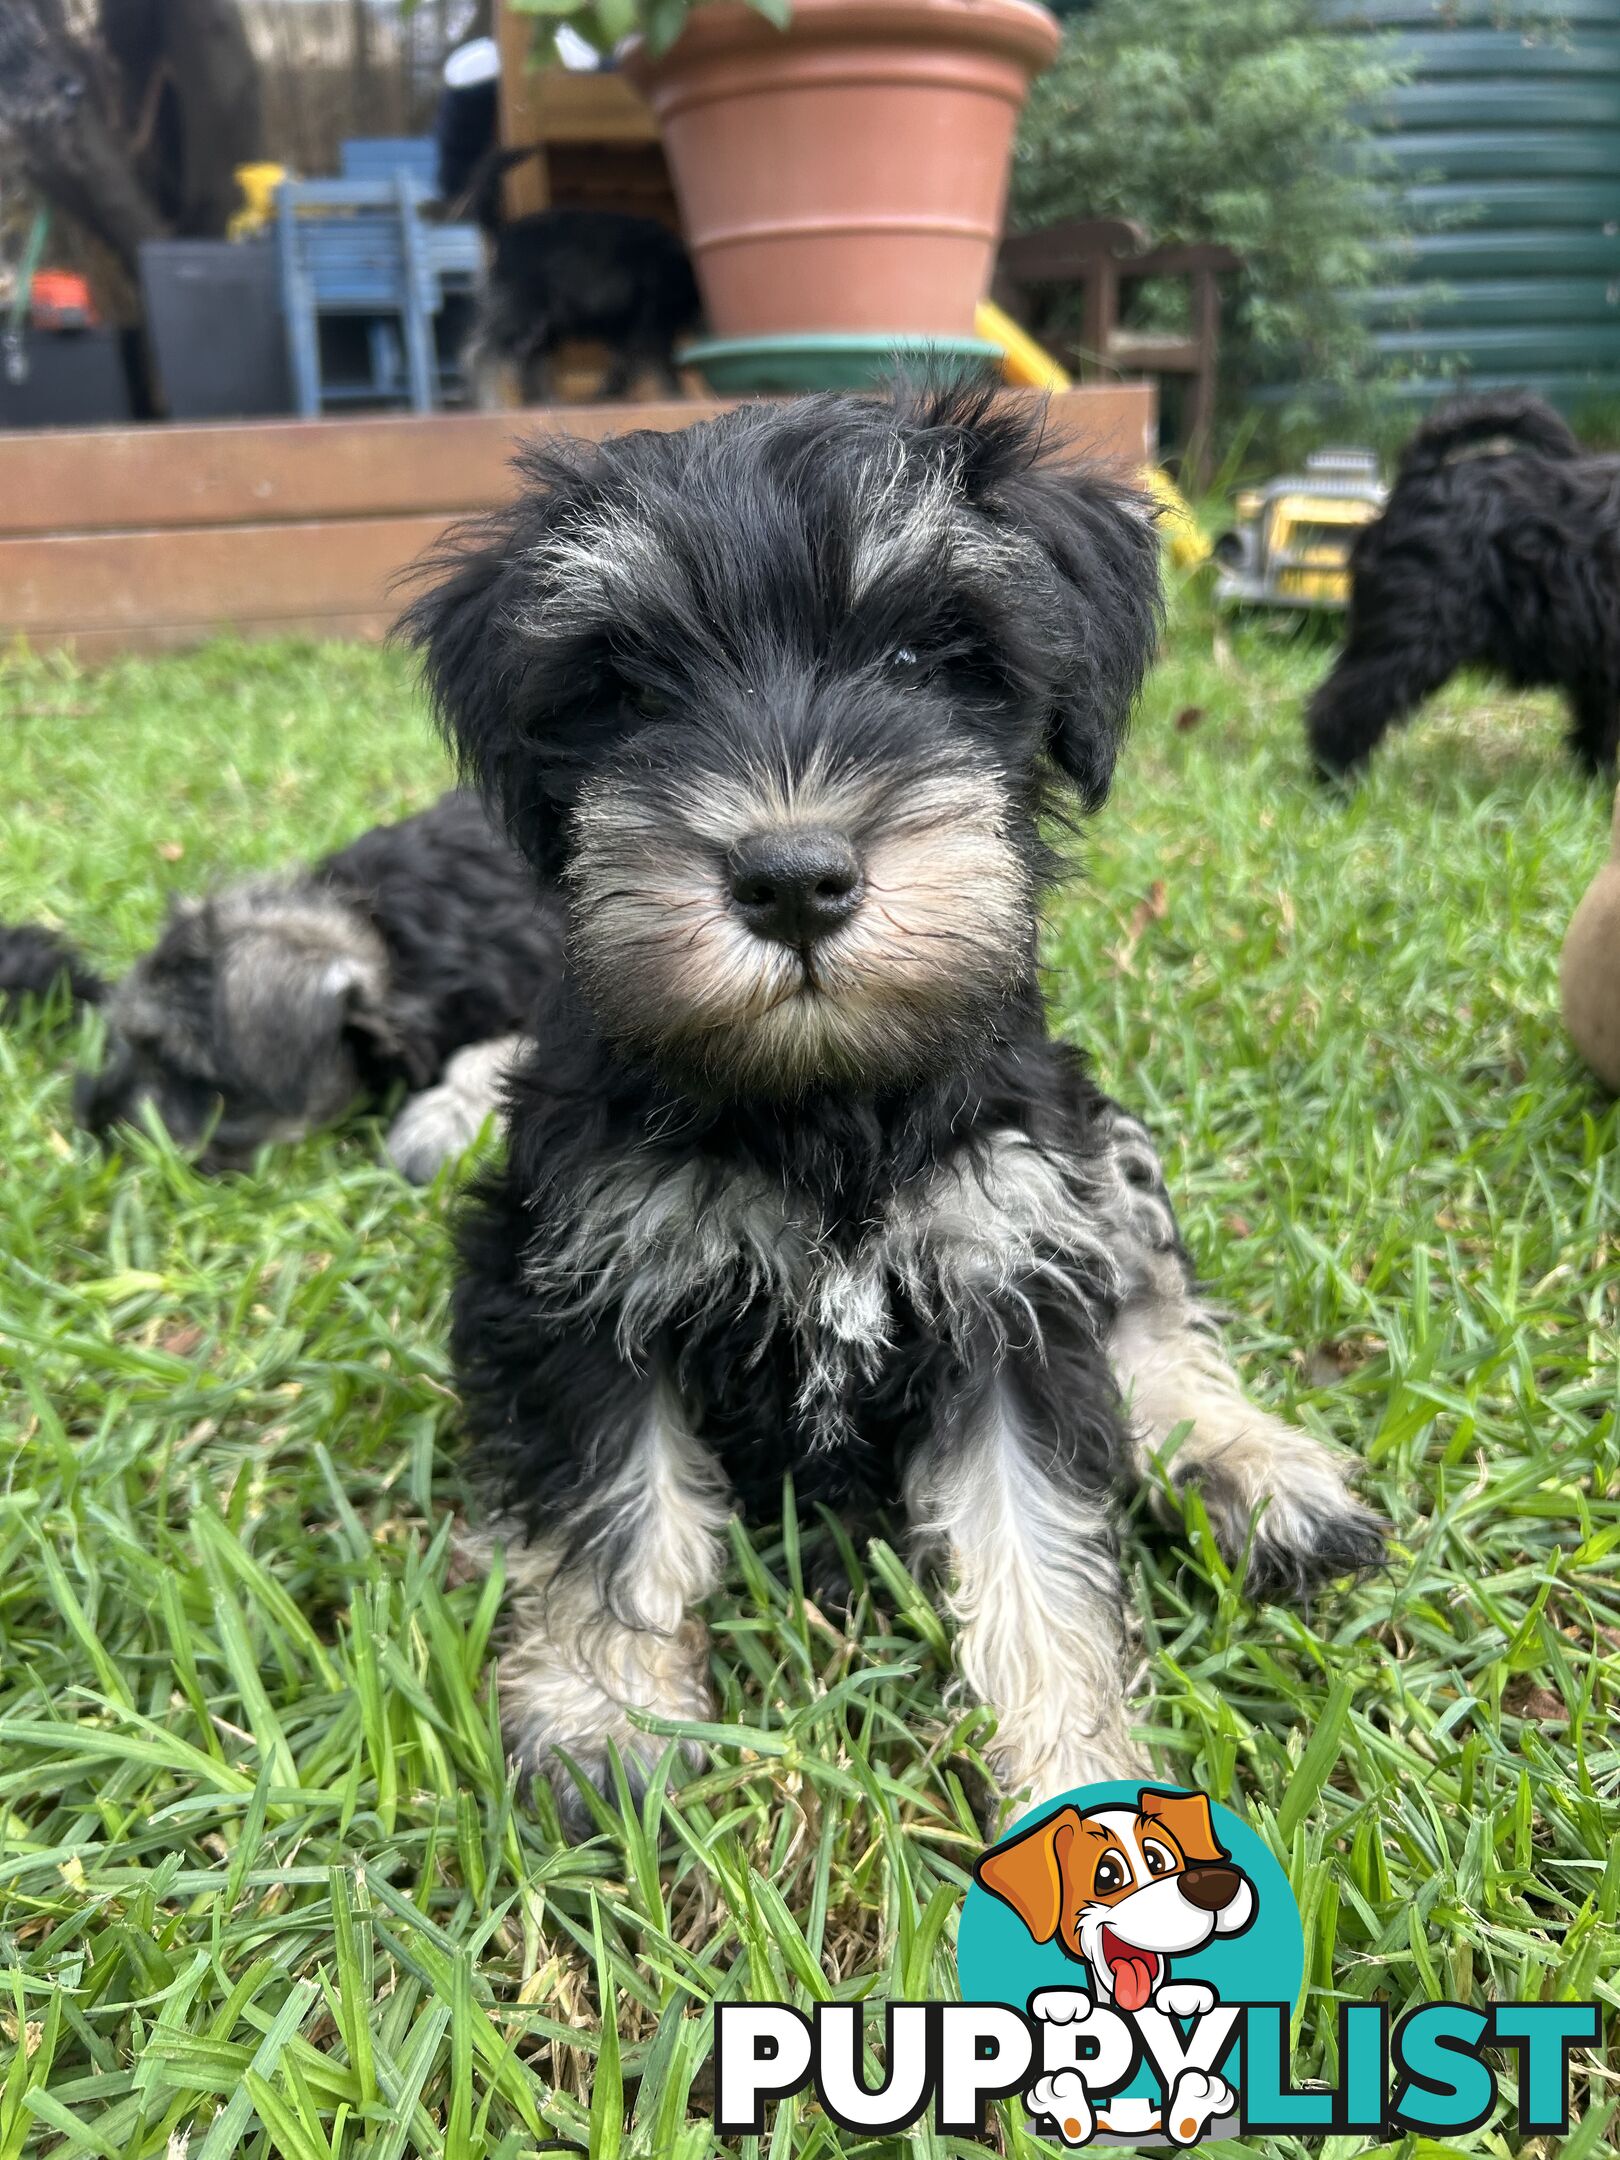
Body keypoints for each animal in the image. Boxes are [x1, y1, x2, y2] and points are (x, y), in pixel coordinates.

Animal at [412, 388, 1391, 1823]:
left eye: (930, 652)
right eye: (626, 688)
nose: (793, 879)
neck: (824, 1096)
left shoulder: (1009, 1283)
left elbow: (1040, 1556)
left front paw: (1077, 1786)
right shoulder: (578, 1274)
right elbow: (618, 1511)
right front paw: (605, 1718)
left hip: (1099, 1150)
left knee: (1151, 1320)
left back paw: (1255, 1470)